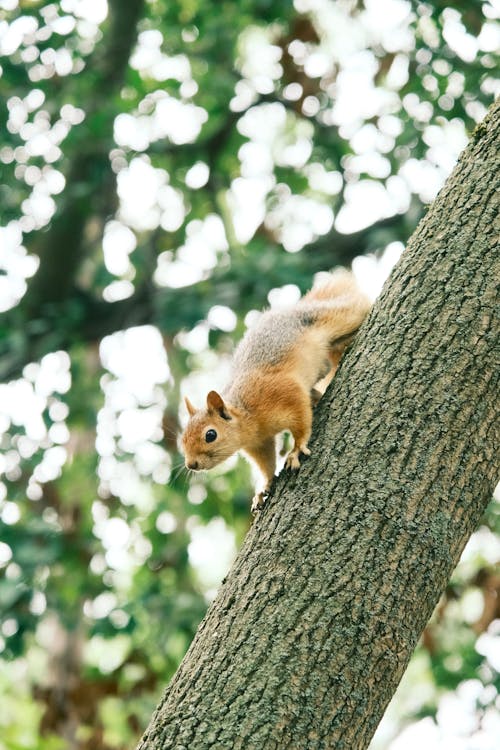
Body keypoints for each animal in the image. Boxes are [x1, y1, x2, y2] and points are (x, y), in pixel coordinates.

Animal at [181, 272, 372, 516]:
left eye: (210, 435)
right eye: (182, 439)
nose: (191, 464)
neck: (247, 416)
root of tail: (298, 307)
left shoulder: (282, 391)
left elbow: (301, 418)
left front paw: (296, 449)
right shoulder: (259, 443)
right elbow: (267, 463)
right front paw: (264, 486)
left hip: (334, 317)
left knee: (355, 309)